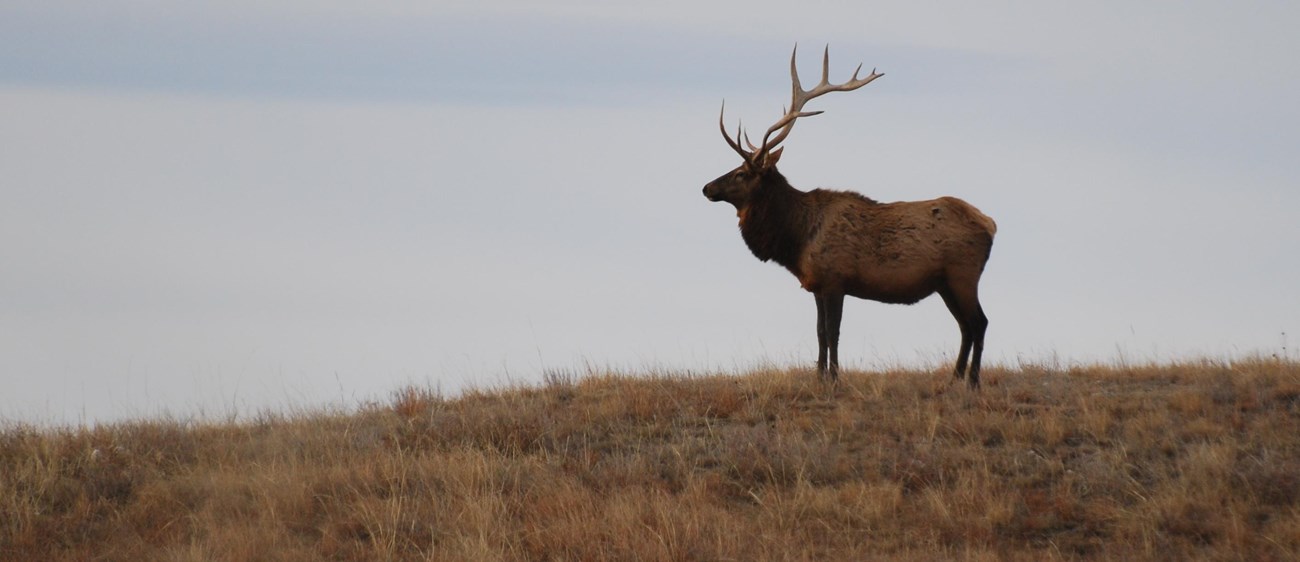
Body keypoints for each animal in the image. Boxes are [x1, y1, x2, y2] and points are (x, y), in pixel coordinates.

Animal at [702, 46, 993, 387]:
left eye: (741, 173)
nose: (706, 187)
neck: (796, 239)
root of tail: (991, 225)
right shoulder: (815, 284)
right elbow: (819, 332)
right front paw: (819, 376)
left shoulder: (835, 279)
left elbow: (833, 332)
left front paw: (834, 378)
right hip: (945, 283)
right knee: (965, 325)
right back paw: (954, 378)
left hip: (963, 274)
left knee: (979, 322)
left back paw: (972, 381)